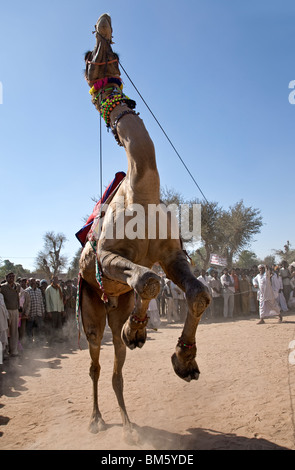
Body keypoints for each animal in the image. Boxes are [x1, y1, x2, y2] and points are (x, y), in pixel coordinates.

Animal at [78, 15, 210, 440]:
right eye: (88, 57)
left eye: (115, 52)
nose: (103, 23)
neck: (144, 188)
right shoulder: (106, 257)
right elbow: (149, 280)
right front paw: (139, 331)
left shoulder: (171, 254)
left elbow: (199, 292)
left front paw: (184, 361)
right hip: (90, 306)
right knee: (95, 362)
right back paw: (97, 421)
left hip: (115, 304)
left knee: (117, 367)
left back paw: (130, 425)